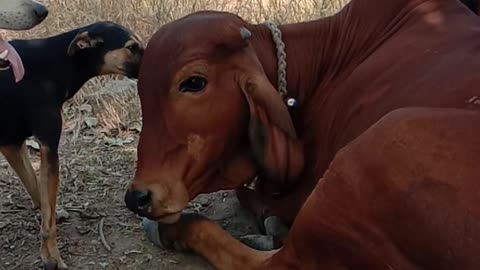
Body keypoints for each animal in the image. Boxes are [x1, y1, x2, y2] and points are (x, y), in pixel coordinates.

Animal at [0, 21, 142, 270]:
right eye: (132, 47)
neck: (57, 62)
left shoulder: (12, 144)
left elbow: (37, 189)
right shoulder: (48, 146)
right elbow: (48, 219)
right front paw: (52, 256)